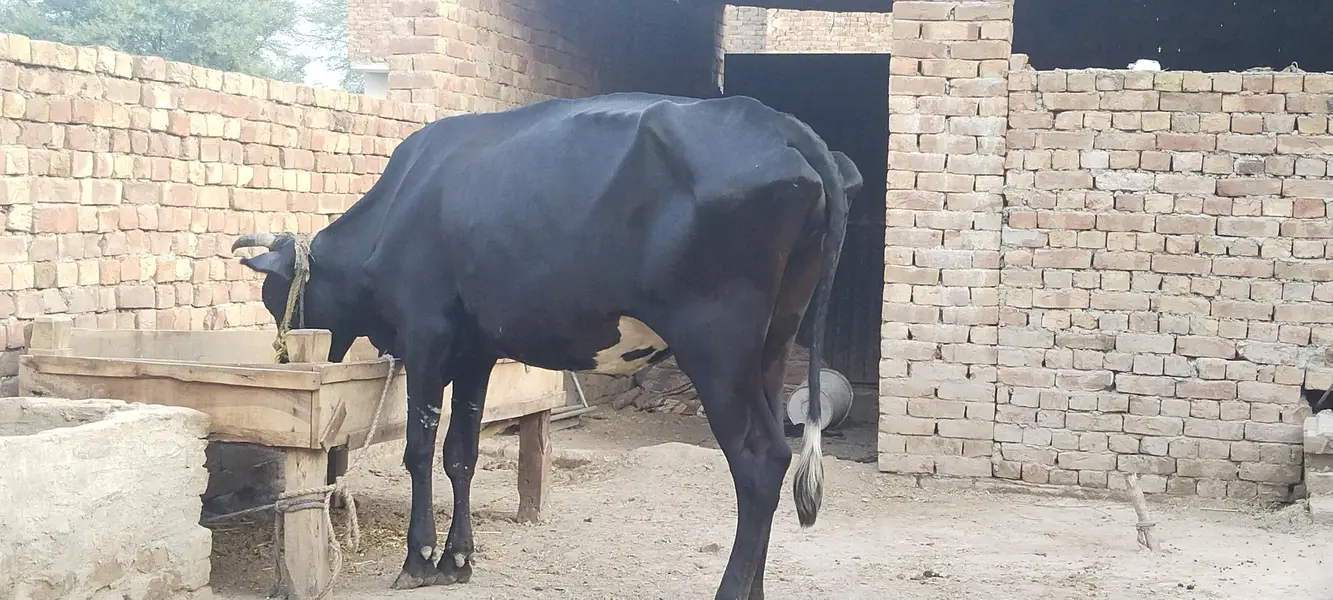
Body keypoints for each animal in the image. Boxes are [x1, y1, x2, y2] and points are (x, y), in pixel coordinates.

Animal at [230, 91, 862, 600]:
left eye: (273, 293)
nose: (285, 354)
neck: (399, 207)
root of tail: (780, 124)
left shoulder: (427, 334)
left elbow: (419, 448)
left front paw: (418, 558)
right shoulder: (476, 351)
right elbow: (461, 452)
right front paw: (458, 559)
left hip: (716, 349)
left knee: (760, 460)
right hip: (771, 346)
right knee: (774, 456)